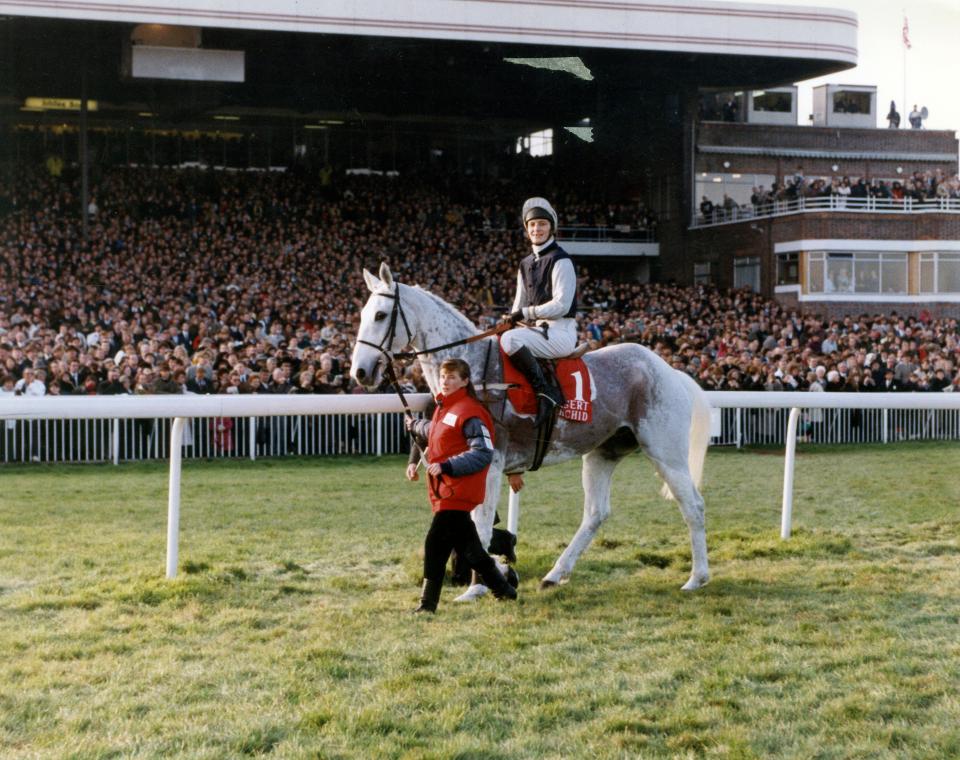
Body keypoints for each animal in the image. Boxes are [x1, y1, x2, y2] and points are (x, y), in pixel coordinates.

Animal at [352, 264, 712, 596]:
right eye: (362, 314)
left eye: (381, 315)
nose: (360, 372)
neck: (473, 371)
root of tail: (669, 370)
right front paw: (491, 576)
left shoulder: (491, 461)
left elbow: (481, 525)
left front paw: (478, 587)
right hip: (603, 453)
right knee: (596, 513)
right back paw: (555, 573)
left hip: (665, 453)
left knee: (693, 505)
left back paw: (697, 578)